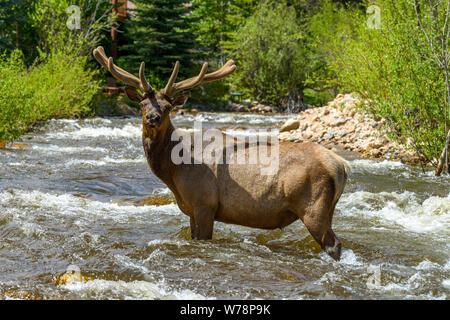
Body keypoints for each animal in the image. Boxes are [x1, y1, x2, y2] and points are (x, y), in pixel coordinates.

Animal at [92, 48, 352, 262]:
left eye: (168, 107)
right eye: (142, 105)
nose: (153, 118)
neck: (174, 171)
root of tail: (341, 165)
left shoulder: (204, 203)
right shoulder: (191, 209)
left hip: (313, 206)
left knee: (334, 244)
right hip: (328, 208)